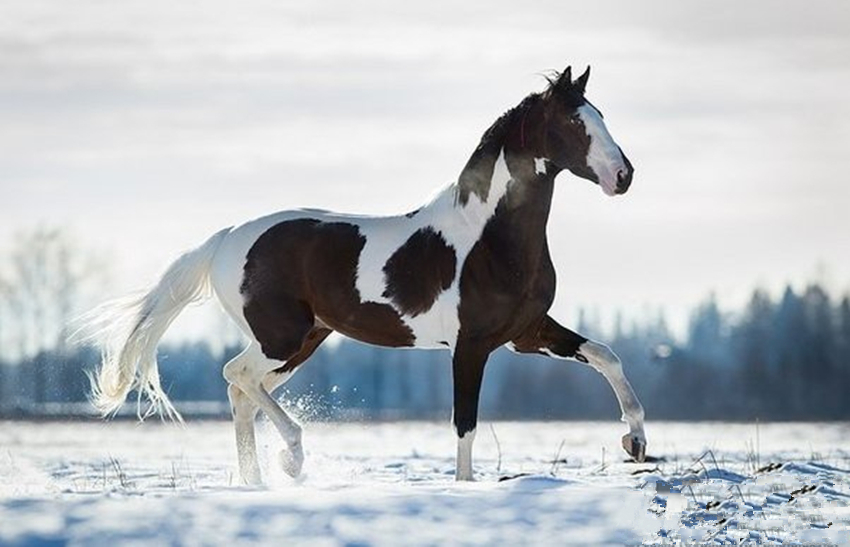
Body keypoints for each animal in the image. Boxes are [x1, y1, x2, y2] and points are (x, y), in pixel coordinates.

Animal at [84, 65, 644, 484]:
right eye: (576, 125)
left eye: (601, 116)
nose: (624, 176)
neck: (489, 239)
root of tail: (226, 238)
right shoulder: (471, 346)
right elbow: (464, 423)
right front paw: (465, 488)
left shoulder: (525, 333)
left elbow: (607, 356)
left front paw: (635, 441)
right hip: (281, 339)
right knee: (235, 375)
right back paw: (291, 458)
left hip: (301, 341)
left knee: (241, 391)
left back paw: (257, 481)